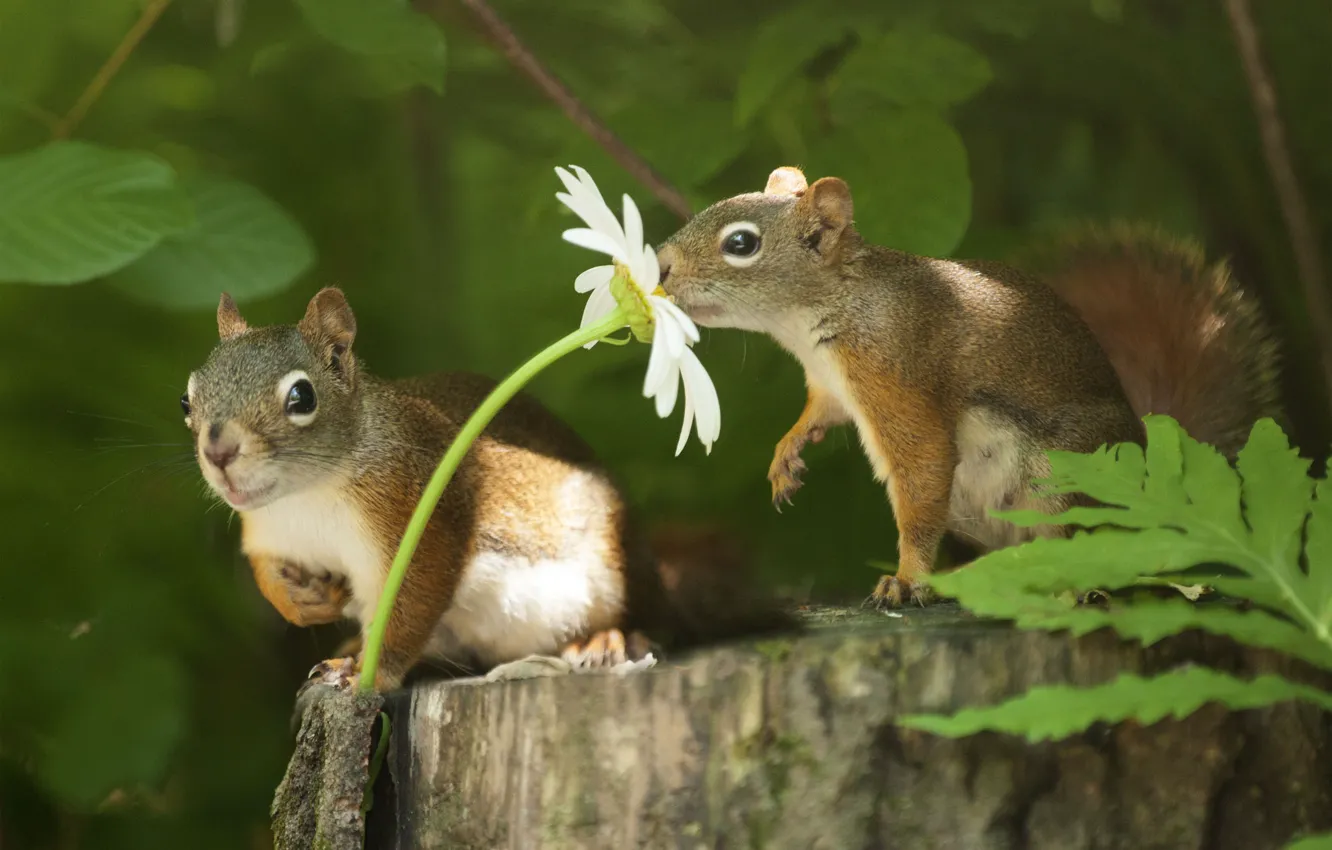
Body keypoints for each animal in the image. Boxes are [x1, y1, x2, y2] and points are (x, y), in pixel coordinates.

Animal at [187, 287, 788, 692]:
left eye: (302, 397)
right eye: (186, 399)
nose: (218, 452)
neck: (305, 497)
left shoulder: (418, 516)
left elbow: (415, 598)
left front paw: (371, 672)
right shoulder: (268, 533)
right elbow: (268, 572)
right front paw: (301, 602)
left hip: (615, 570)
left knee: (650, 619)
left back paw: (611, 640)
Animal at [652, 165, 1278, 607]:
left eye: (741, 244)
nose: (658, 265)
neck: (828, 309)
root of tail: (1157, 497)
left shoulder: (899, 373)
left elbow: (923, 470)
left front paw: (905, 580)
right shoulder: (829, 385)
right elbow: (819, 413)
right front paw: (788, 451)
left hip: (1064, 476)